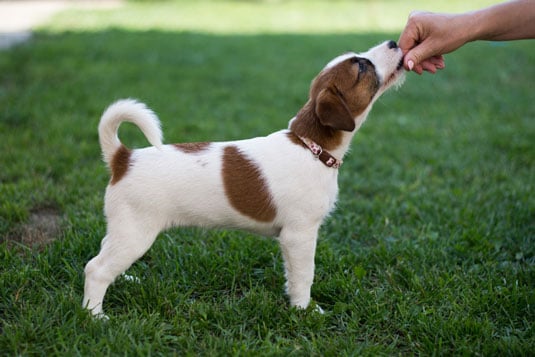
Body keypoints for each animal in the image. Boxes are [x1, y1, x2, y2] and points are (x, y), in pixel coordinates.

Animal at [82, 40, 402, 316]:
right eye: (361, 66)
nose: (393, 42)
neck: (310, 146)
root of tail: (123, 158)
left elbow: (291, 275)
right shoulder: (300, 234)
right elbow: (304, 276)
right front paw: (303, 311)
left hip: (122, 228)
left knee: (103, 255)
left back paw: (124, 281)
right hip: (136, 232)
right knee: (95, 269)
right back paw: (94, 315)